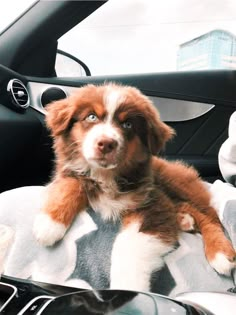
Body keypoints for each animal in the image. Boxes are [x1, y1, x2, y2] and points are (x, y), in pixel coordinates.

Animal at [33, 83, 236, 292]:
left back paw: (219, 252)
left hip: (174, 181)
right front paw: (49, 223)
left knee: (209, 215)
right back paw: (184, 220)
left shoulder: (152, 203)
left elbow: (130, 245)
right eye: (91, 117)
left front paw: (128, 288)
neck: (107, 176)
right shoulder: (71, 172)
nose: (106, 144)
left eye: (128, 125)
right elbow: (70, 185)